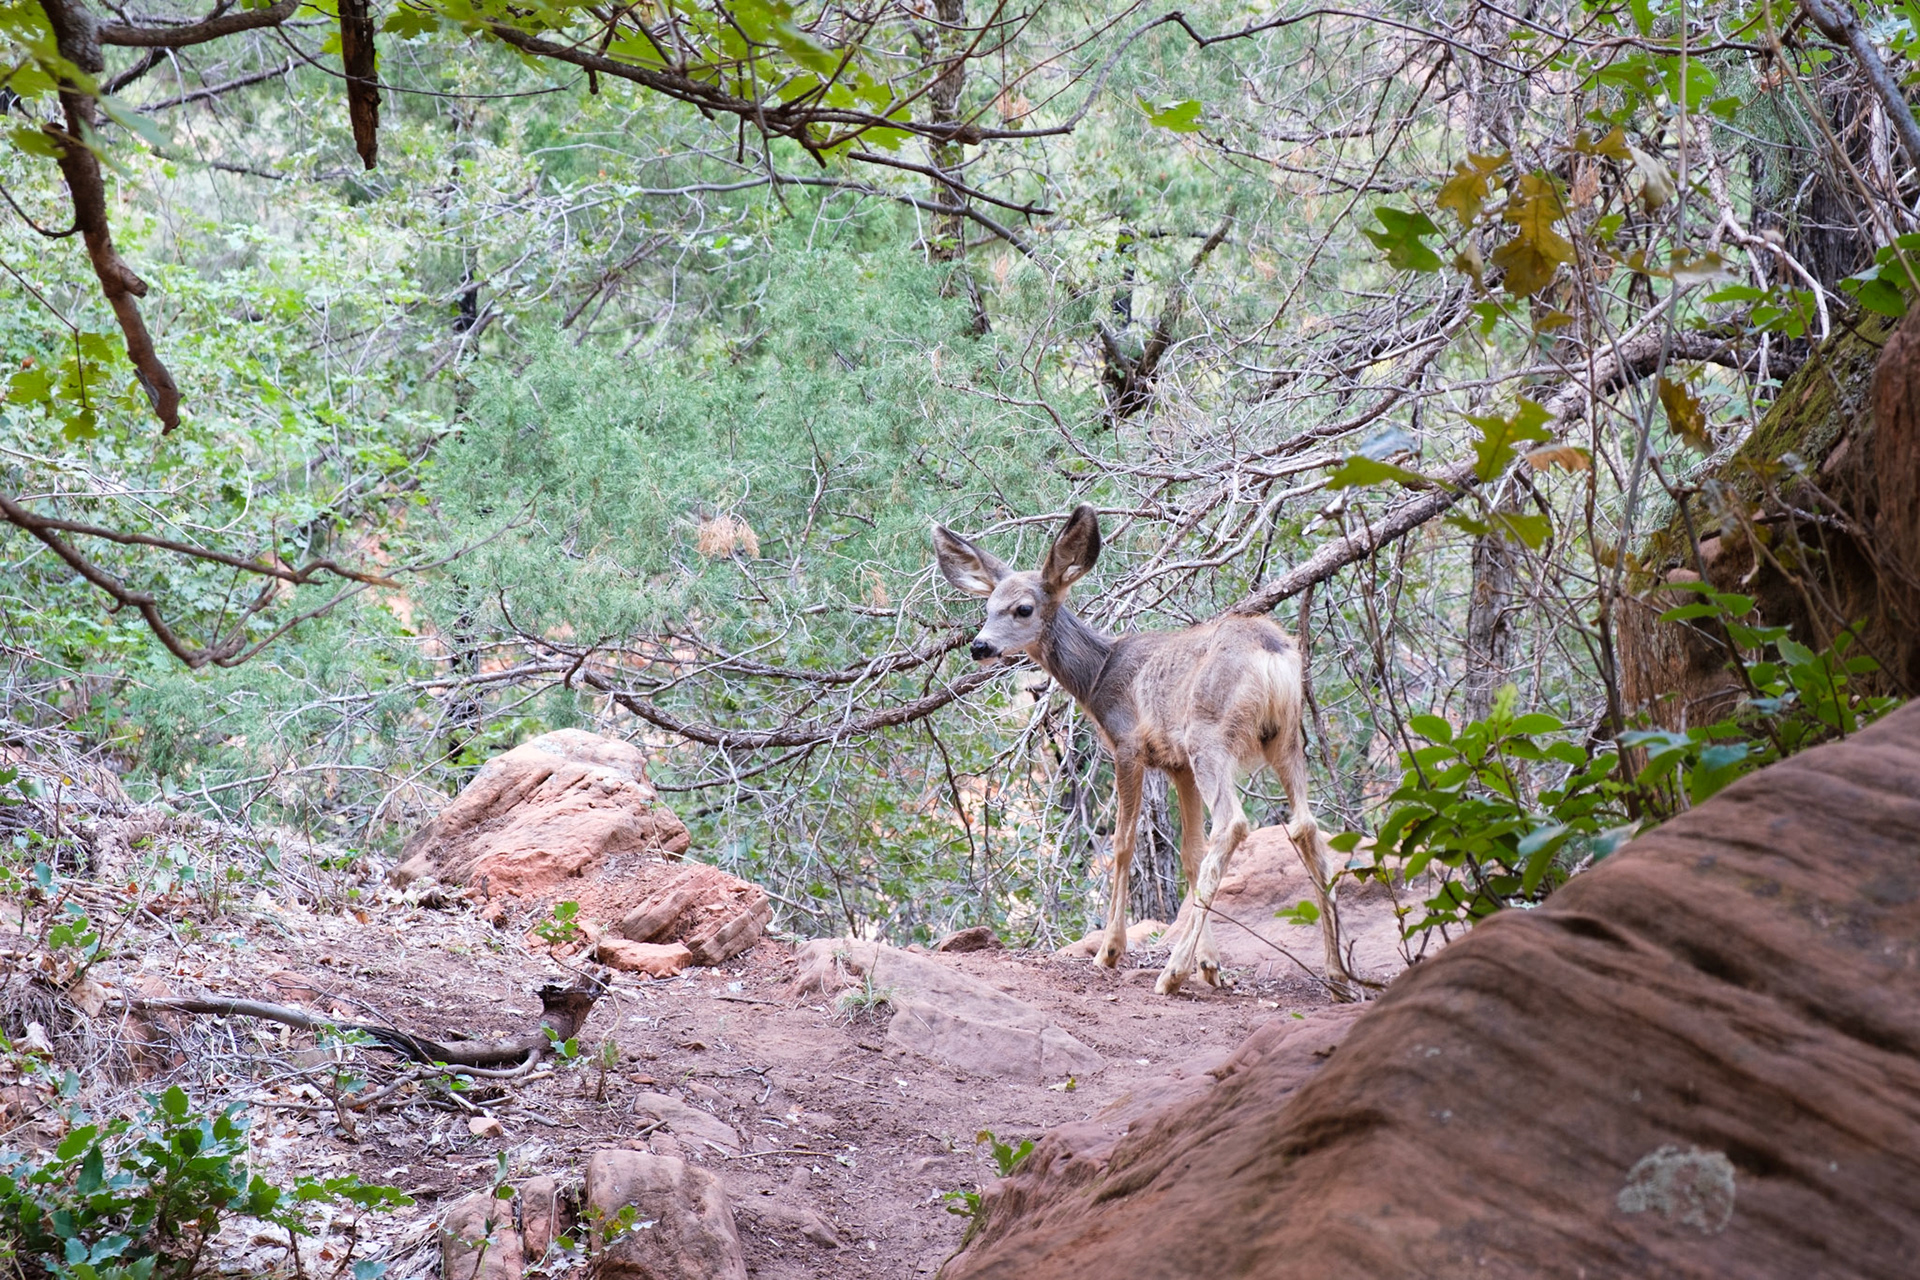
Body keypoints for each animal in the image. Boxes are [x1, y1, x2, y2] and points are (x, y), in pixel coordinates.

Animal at [933, 505, 1355, 999]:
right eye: (986, 607)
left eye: (1023, 608)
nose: (980, 645)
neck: (1098, 677)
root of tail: (1270, 654)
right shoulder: (1177, 765)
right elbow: (1191, 853)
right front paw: (1211, 965)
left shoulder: (1129, 745)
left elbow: (1122, 844)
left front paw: (1110, 951)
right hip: (1286, 736)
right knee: (1305, 826)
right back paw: (1336, 975)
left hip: (1210, 735)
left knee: (1233, 822)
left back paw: (1171, 973)